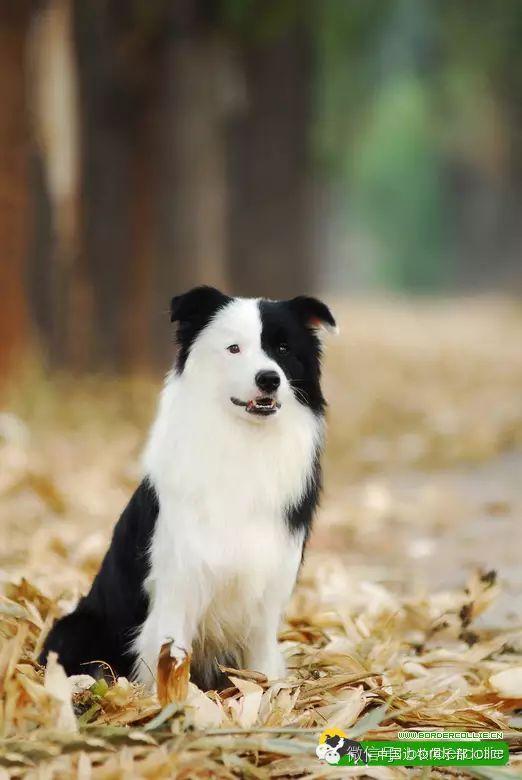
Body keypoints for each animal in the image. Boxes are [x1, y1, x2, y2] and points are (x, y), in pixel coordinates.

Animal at [39, 286, 334, 688]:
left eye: (284, 348)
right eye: (234, 348)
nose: (269, 379)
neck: (244, 443)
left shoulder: (269, 589)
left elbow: (260, 667)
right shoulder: (178, 581)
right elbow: (169, 657)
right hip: (76, 627)